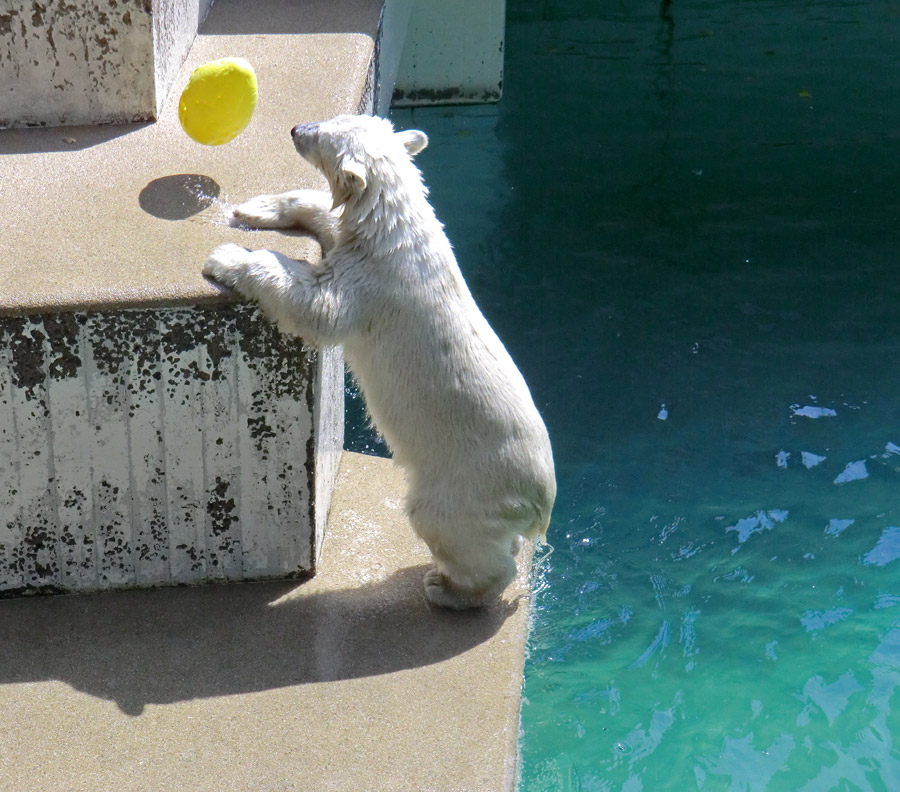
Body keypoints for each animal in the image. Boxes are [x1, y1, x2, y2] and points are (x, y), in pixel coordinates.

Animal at [205, 113, 556, 608]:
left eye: (322, 138)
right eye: (333, 120)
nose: (297, 129)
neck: (398, 231)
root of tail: (541, 506)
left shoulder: (373, 285)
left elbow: (318, 306)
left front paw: (227, 257)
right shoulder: (363, 249)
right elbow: (329, 219)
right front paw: (255, 208)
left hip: (466, 486)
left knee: (450, 532)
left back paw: (448, 591)